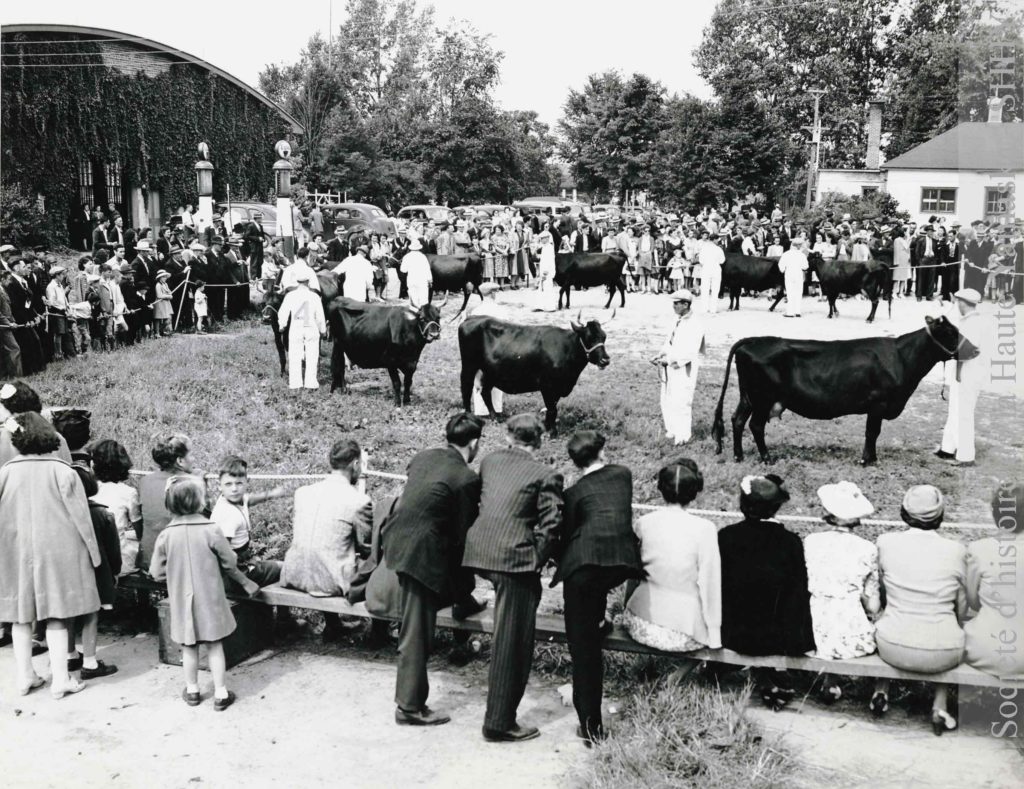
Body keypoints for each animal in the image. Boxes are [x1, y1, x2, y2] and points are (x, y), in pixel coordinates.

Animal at [460, 311, 610, 431]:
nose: (605, 360)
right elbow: (552, 409)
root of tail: (471, 318)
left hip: (490, 371)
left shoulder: (557, 389)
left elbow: (552, 409)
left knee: (485, 391)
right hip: (469, 365)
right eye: (588, 338)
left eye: (604, 336)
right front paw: (552, 431)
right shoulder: (547, 386)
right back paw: (468, 418)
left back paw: (495, 417)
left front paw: (547, 426)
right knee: (466, 388)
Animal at [712, 315, 974, 462]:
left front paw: (872, 458)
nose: (976, 349)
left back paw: (738, 455)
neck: (901, 357)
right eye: (951, 332)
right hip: (763, 398)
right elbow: (872, 432)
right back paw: (767, 459)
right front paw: (868, 460)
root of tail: (754, 340)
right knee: (755, 425)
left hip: (749, 397)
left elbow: (873, 433)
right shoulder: (878, 403)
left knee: (737, 419)